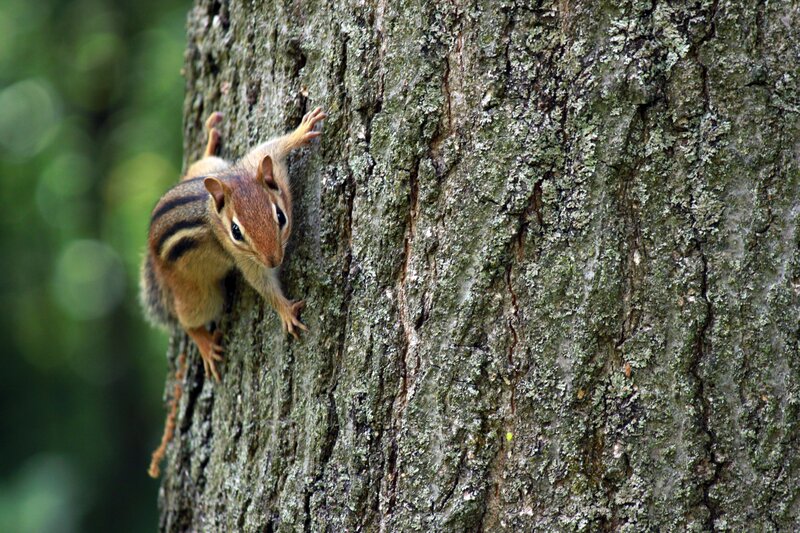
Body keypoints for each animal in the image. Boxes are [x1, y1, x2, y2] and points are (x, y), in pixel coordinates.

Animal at [140, 107, 326, 381]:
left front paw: (301, 132)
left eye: (281, 216)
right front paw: (285, 311)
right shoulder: (241, 256)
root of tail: (153, 255)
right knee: (187, 319)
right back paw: (205, 345)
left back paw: (209, 143)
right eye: (236, 232)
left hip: (211, 167)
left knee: (200, 164)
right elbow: (261, 282)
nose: (274, 260)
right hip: (196, 293)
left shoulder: (259, 161)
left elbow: (274, 144)